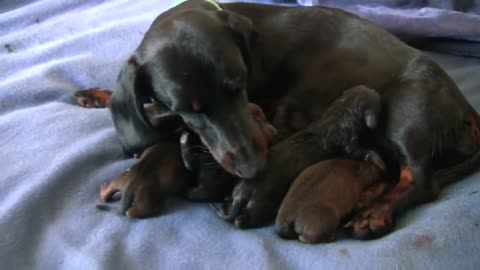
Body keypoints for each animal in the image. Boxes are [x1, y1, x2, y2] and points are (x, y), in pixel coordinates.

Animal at [107, 0, 480, 236]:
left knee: (420, 180)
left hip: (406, 115)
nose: (253, 169)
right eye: (189, 107)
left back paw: (376, 212)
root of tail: (467, 111)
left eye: (238, 84)